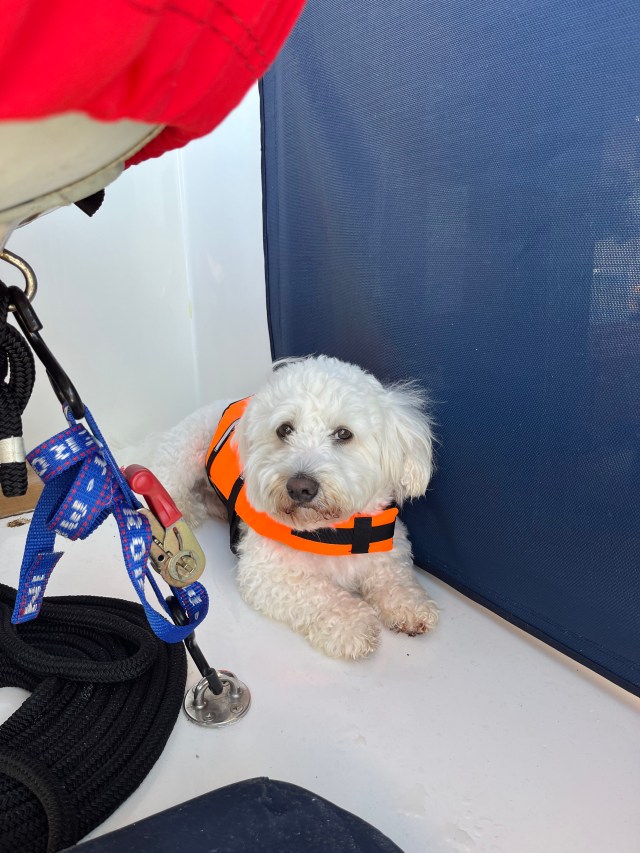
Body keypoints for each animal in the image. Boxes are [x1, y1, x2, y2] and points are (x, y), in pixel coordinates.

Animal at [133, 355, 438, 659]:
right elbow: (319, 593)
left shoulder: (390, 547)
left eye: (343, 433)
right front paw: (352, 624)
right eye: (285, 429)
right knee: (164, 482)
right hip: (183, 454)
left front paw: (409, 604)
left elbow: (394, 575)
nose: (300, 487)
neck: (335, 531)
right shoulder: (265, 573)